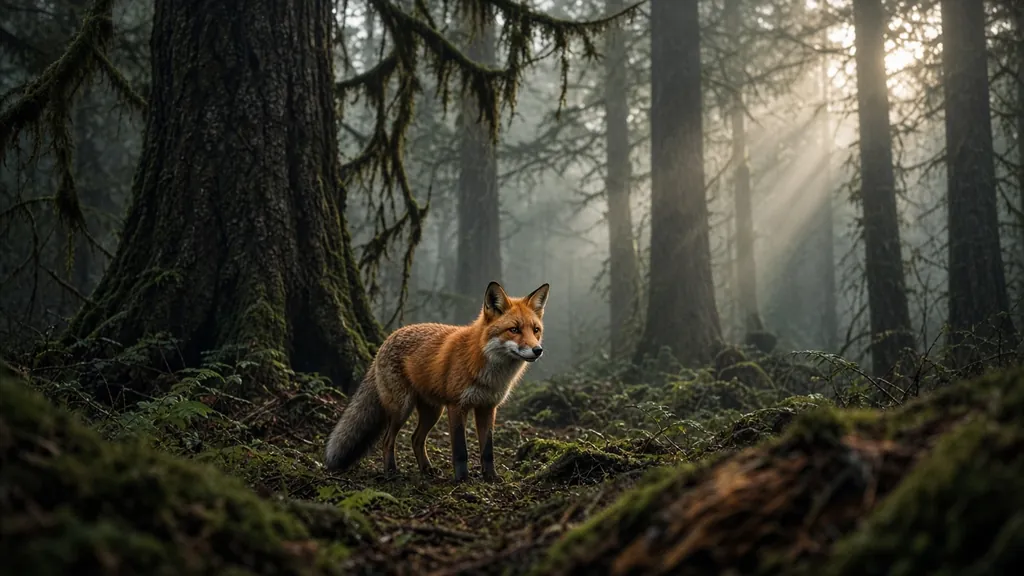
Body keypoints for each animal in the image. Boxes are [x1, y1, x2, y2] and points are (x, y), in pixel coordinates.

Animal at [324, 281, 549, 482]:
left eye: (535, 330)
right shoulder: (457, 406)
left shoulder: (487, 407)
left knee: (416, 439)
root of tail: (386, 340)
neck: (488, 371)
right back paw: (391, 472)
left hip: (433, 411)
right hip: (402, 408)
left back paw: (426, 469)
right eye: (514, 329)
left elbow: (488, 450)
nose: (538, 350)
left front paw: (491, 477)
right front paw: (462, 479)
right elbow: (460, 450)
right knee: (388, 440)